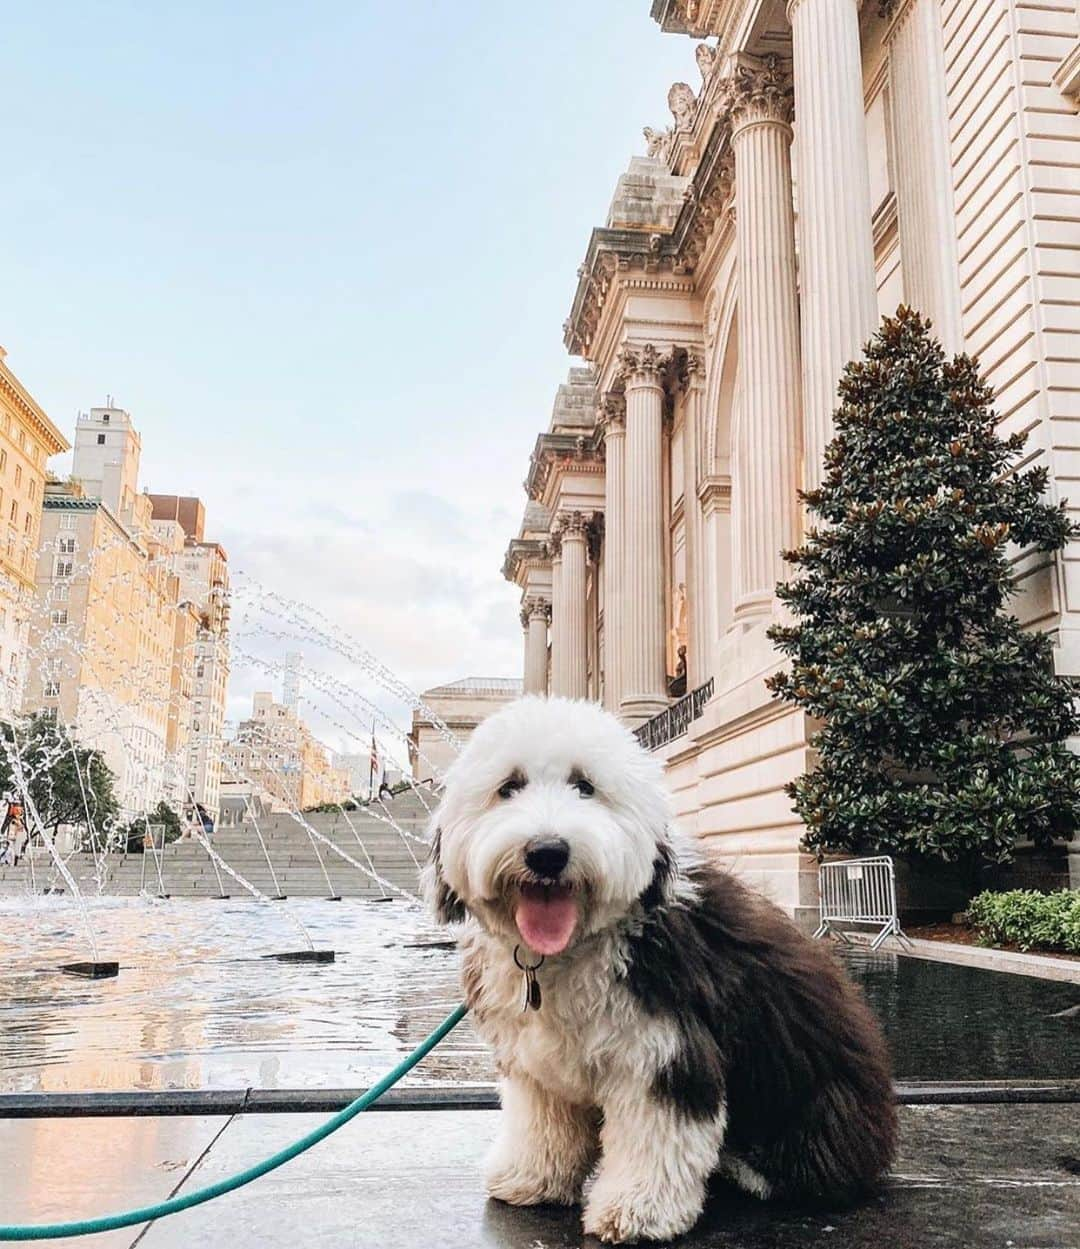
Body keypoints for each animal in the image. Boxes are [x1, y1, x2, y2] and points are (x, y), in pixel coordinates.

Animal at [422, 699, 893, 1244]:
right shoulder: (535, 1062)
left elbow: (657, 1138)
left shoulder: (663, 1050)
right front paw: (531, 1177)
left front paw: (637, 1210)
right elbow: (543, 1121)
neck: (570, 950)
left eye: (585, 786)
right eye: (509, 786)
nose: (547, 852)